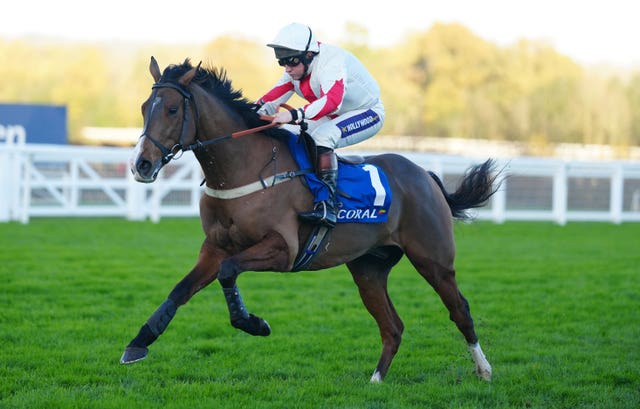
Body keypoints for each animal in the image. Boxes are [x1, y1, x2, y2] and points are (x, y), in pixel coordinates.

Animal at [121, 55, 500, 380]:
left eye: (172, 109)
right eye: (143, 108)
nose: (142, 165)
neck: (244, 168)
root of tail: (426, 175)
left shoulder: (283, 250)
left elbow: (229, 272)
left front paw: (255, 323)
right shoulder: (214, 248)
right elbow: (180, 290)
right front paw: (138, 343)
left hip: (433, 259)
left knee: (460, 310)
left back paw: (484, 370)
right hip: (369, 269)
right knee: (393, 327)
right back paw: (376, 380)